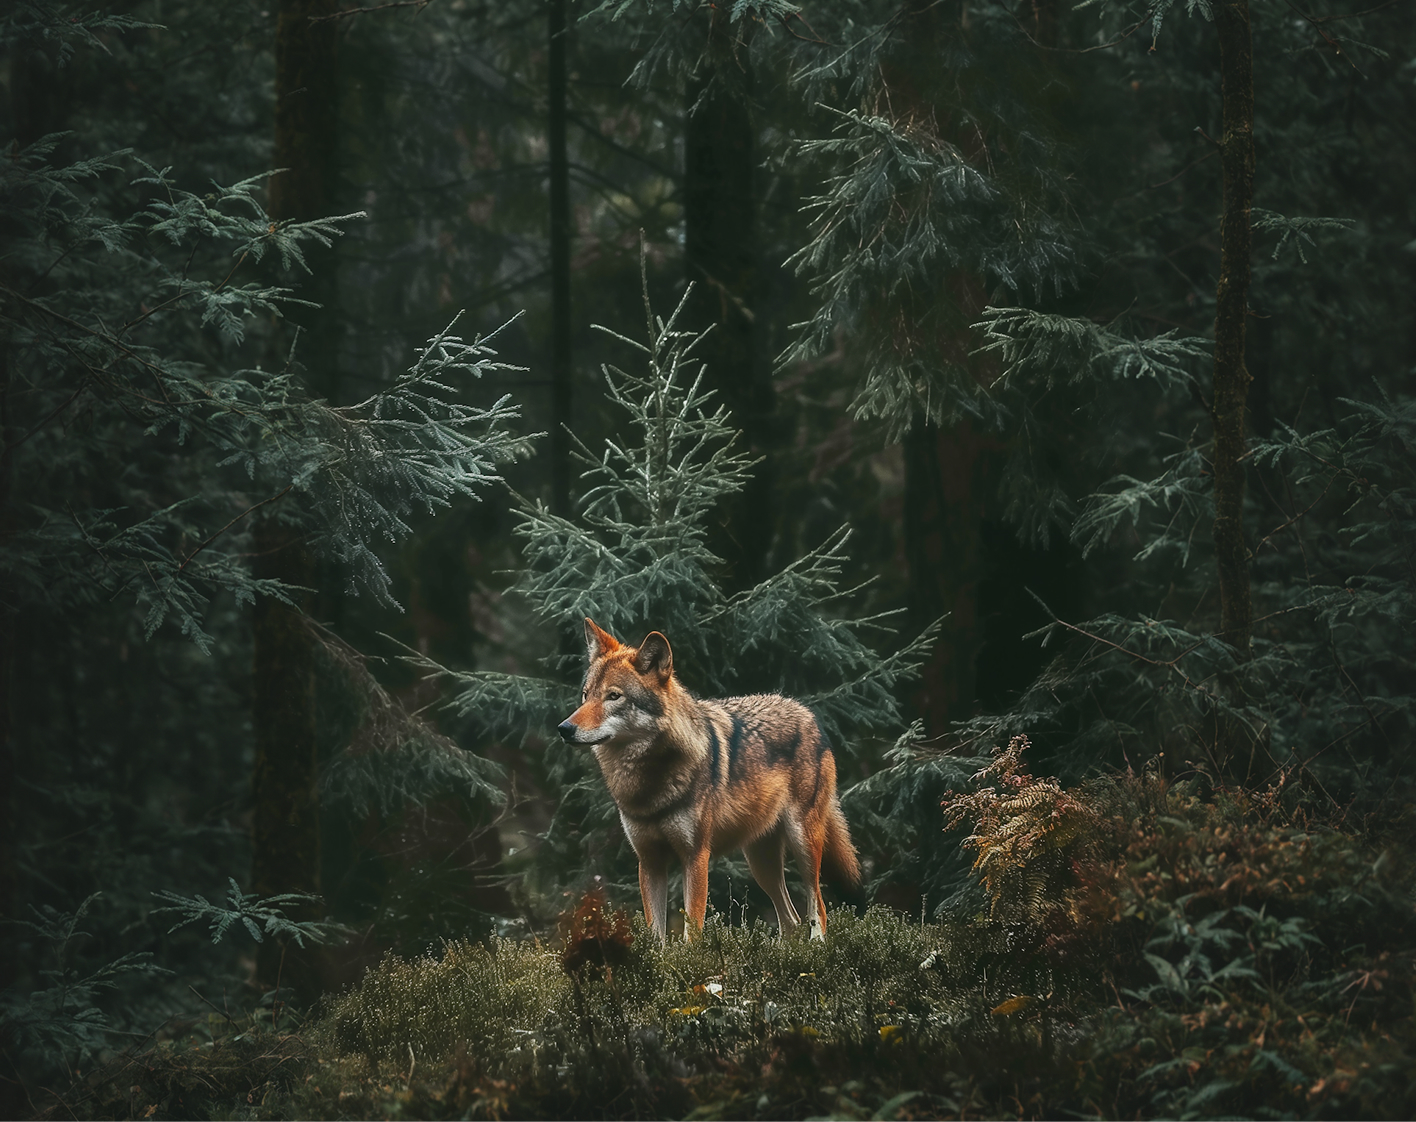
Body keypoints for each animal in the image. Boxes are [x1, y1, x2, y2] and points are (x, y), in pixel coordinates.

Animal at [557, 618, 861, 941]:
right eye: (585, 695)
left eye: (614, 696)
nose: (564, 728)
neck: (647, 783)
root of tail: (807, 713)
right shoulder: (649, 862)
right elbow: (656, 937)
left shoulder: (696, 857)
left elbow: (692, 933)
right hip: (760, 862)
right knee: (791, 919)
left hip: (803, 845)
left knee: (818, 908)